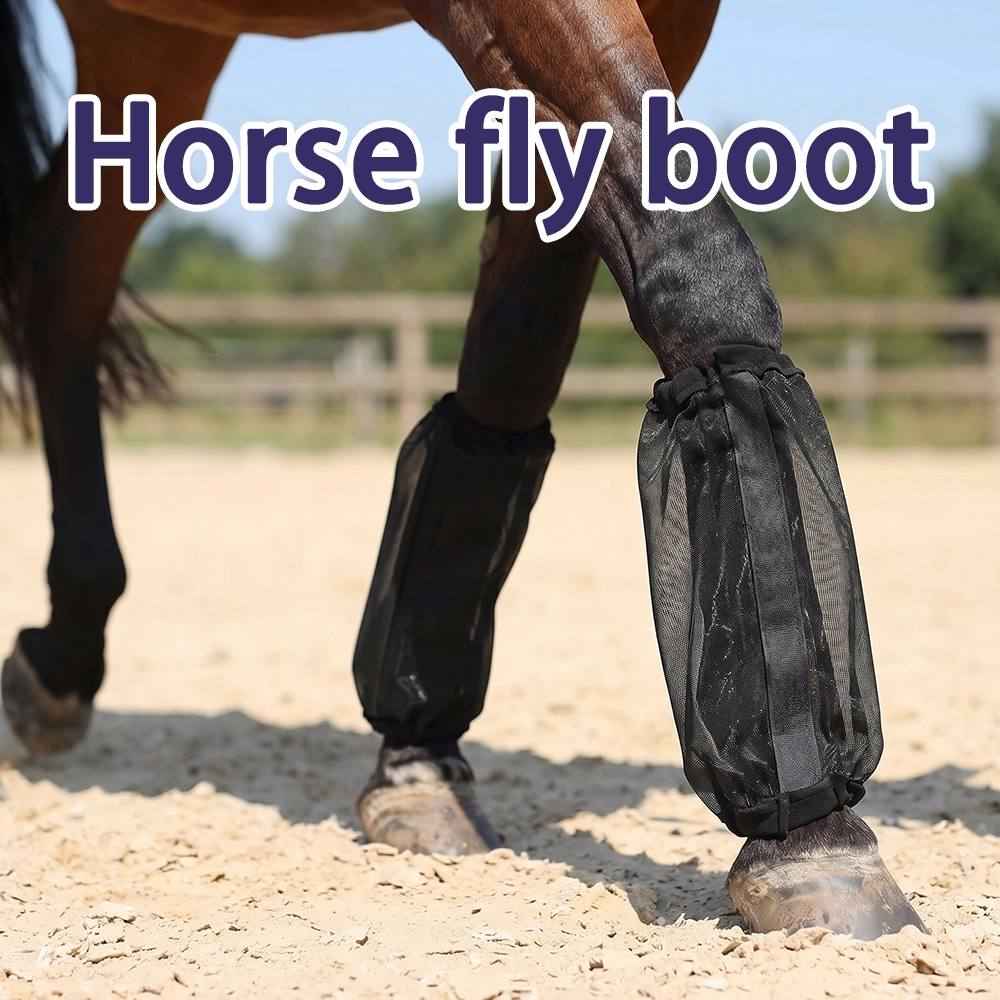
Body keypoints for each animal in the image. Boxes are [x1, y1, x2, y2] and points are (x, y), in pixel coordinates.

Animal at [0, 0, 927, 939]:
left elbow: (516, 351)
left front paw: (419, 760)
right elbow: (693, 260)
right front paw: (811, 837)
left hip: (155, 42)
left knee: (61, 282)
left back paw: (60, 659)